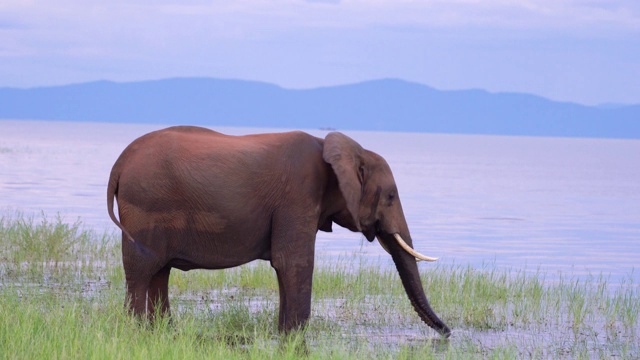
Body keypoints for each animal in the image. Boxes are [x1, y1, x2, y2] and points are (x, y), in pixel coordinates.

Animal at [107, 126, 450, 338]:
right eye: (391, 196)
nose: (448, 333)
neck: (340, 149)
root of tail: (119, 163)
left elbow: (287, 265)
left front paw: (285, 333)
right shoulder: (297, 194)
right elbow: (294, 263)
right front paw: (295, 336)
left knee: (159, 272)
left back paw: (161, 331)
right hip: (145, 205)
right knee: (142, 271)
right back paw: (136, 330)